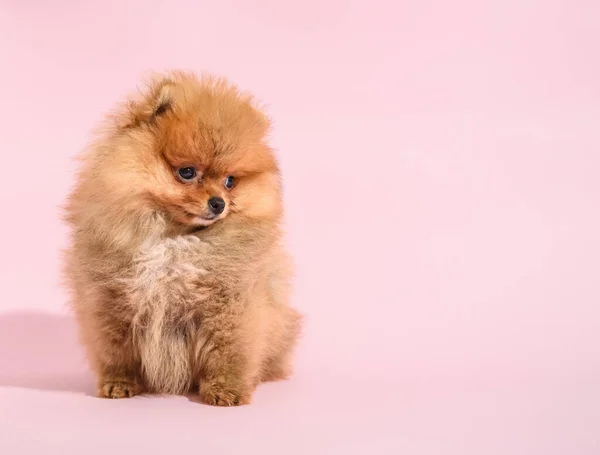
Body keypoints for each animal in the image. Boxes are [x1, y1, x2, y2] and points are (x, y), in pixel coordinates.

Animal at [63, 71, 302, 406]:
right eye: (187, 172)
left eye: (230, 181)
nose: (218, 203)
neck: (173, 238)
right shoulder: (110, 301)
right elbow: (117, 353)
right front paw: (120, 383)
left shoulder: (230, 304)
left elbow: (228, 352)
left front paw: (225, 390)